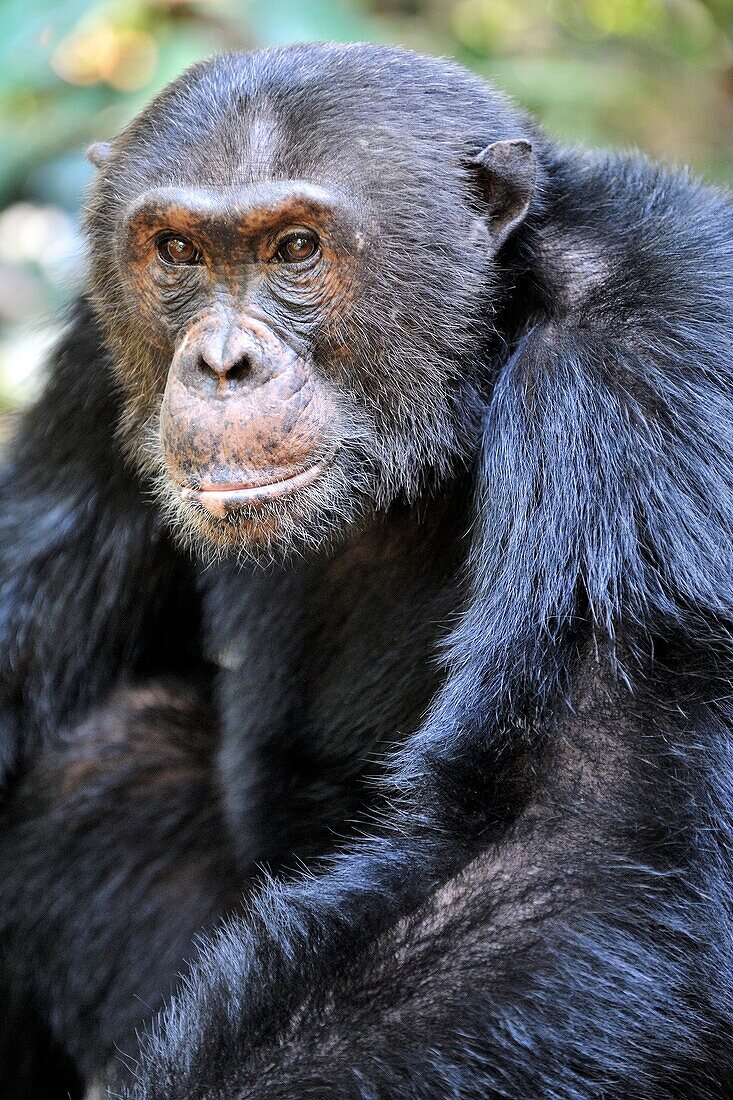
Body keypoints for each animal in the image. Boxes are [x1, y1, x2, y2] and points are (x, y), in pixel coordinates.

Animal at [1, 42, 730, 1100]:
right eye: (177, 252)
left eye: (295, 249)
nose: (222, 362)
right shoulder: (101, 362)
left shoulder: (648, 366)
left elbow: (588, 850)